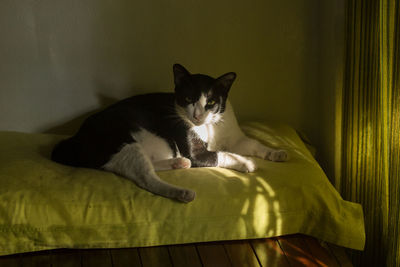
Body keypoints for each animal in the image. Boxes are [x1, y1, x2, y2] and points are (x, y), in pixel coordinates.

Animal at [51, 64, 286, 203]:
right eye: (189, 99)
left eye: (211, 102)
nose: (198, 116)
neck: (211, 127)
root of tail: (73, 140)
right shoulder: (197, 153)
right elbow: (222, 154)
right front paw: (246, 163)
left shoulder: (235, 138)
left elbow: (253, 144)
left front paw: (277, 153)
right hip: (123, 140)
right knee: (145, 178)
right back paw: (182, 192)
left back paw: (177, 163)